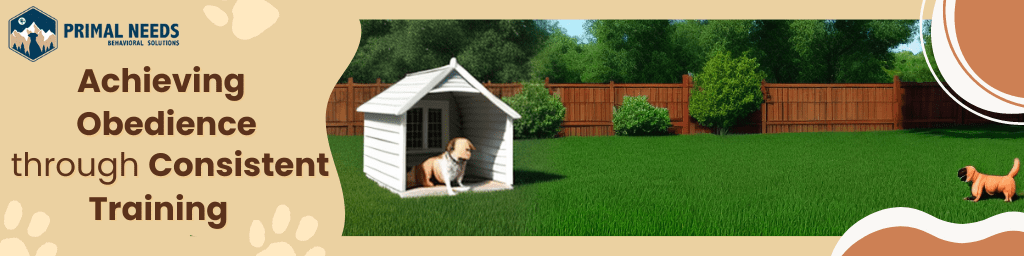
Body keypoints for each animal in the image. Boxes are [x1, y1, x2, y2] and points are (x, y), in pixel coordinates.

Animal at [358, 58, 520, 197]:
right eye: (459, 147)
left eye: (468, 147)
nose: (467, 154)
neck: (457, 163)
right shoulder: (446, 175)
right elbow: (449, 184)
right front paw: (451, 192)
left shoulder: (460, 175)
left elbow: (461, 183)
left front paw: (464, 187)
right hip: (428, 168)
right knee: (427, 181)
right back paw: (429, 184)